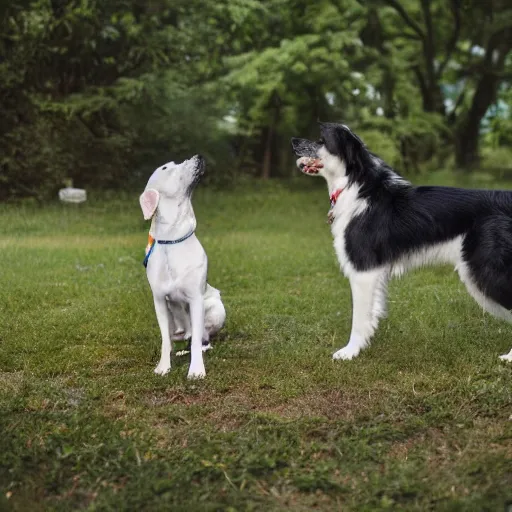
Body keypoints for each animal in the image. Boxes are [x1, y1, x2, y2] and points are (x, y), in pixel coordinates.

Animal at [141, 154, 227, 378]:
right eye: (165, 168)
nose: (199, 156)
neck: (173, 238)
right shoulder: (160, 301)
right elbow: (165, 340)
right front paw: (163, 366)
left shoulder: (196, 299)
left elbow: (196, 340)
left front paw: (196, 370)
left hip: (216, 309)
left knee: (202, 338)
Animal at [292, 123, 512, 364]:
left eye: (321, 140)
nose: (293, 141)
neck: (355, 185)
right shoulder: (373, 273)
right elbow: (371, 314)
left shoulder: (363, 269)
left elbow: (358, 318)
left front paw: (350, 352)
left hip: (485, 270)